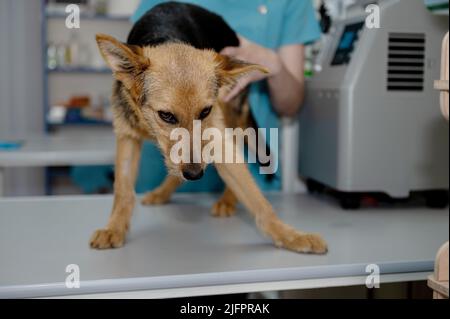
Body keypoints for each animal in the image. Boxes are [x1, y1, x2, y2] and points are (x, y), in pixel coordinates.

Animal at [89, 0, 326, 255]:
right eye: (166, 116)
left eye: (205, 112)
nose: (195, 175)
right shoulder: (127, 135)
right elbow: (122, 190)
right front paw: (114, 227)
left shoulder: (216, 138)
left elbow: (258, 200)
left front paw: (289, 234)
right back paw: (164, 192)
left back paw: (228, 199)